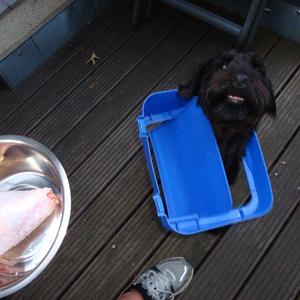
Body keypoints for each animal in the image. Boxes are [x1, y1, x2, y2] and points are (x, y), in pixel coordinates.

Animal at [178, 50, 276, 184]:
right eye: (223, 66)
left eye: (257, 70)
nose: (241, 80)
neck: (226, 128)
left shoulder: (241, 135)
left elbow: (235, 147)